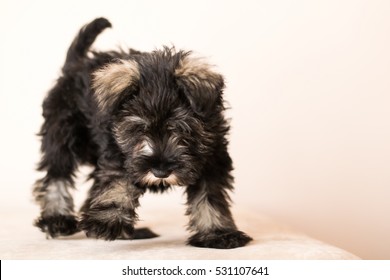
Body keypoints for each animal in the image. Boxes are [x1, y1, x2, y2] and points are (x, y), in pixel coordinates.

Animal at [33, 18, 253, 249]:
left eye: (182, 129)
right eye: (139, 129)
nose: (160, 171)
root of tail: (75, 64)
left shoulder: (212, 160)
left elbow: (210, 197)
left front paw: (218, 233)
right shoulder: (118, 153)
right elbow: (118, 182)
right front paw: (107, 220)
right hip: (63, 135)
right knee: (57, 176)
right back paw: (57, 219)